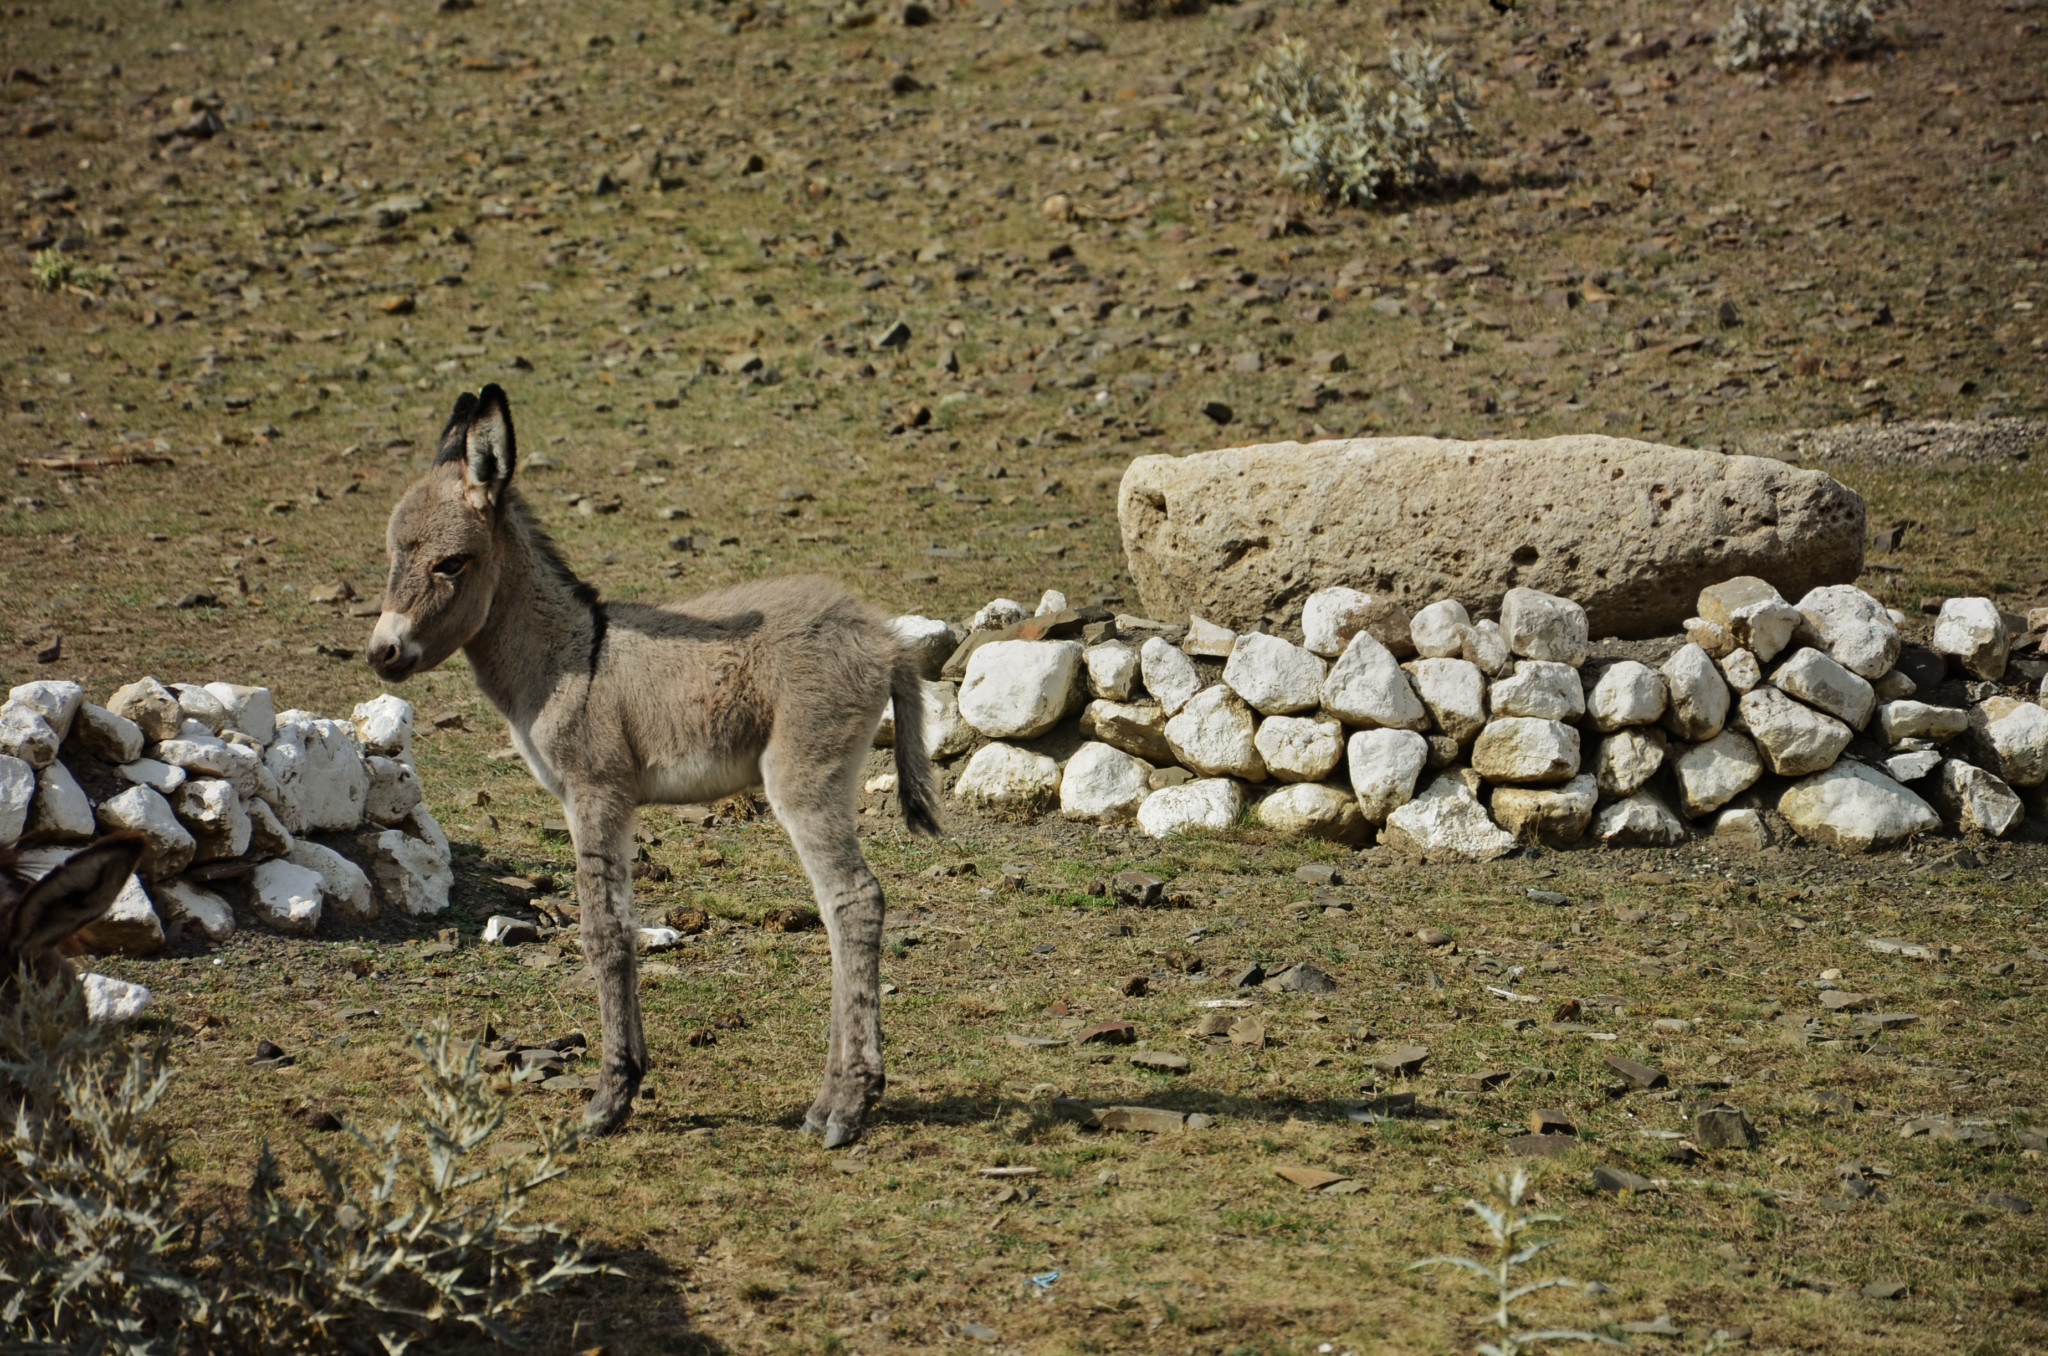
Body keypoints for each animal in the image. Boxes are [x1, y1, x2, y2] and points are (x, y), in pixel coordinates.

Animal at [372, 385, 937, 1147]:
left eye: (452, 564)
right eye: (392, 553)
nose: (382, 653)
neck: (569, 656)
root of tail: (882, 638)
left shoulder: (595, 793)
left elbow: (602, 932)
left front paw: (609, 1099)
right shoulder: (607, 803)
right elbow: (622, 924)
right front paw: (626, 1078)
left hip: (804, 776)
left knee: (854, 901)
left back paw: (847, 1105)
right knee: (840, 907)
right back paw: (837, 1098)